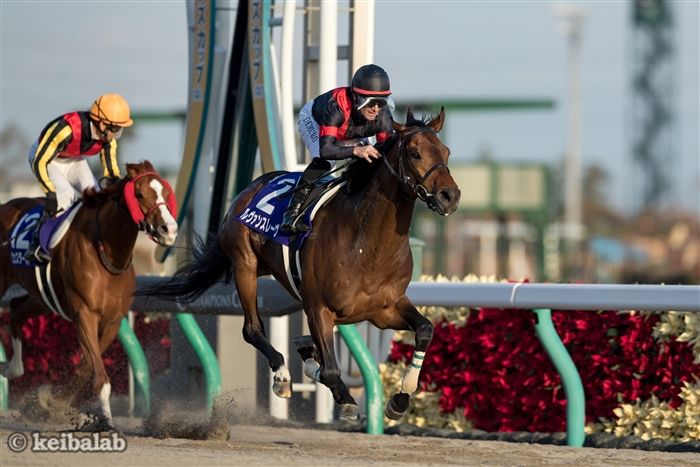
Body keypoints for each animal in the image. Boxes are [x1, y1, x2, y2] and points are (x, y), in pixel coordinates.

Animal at [0, 160, 178, 430]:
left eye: (166, 192)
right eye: (139, 194)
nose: (170, 230)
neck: (108, 253)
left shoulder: (113, 321)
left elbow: (85, 368)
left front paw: (52, 403)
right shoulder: (85, 314)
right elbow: (100, 377)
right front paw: (106, 421)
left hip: (42, 297)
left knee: (17, 311)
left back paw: (11, 369)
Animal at [138, 109, 460, 421]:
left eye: (446, 152)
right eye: (415, 153)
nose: (450, 196)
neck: (367, 245)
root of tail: (250, 188)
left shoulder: (385, 308)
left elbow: (425, 329)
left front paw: (400, 398)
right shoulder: (318, 307)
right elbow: (329, 369)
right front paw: (344, 399)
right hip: (245, 266)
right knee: (251, 328)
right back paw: (282, 375)